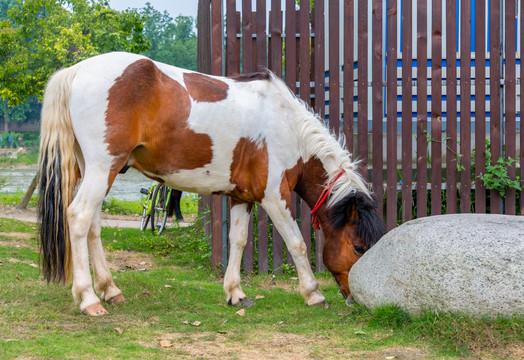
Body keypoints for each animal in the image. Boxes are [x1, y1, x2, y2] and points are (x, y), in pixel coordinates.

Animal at [37, 50, 384, 316]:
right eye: (358, 246)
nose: (356, 300)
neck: (287, 127)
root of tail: (76, 71)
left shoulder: (242, 196)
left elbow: (239, 240)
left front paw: (235, 293)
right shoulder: (275, 196)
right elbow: (297, 242)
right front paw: (313, 293)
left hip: (95, 171)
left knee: (93, 225)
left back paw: (110, 290)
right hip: (102, 168)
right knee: (79, 217)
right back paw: (89, 299)